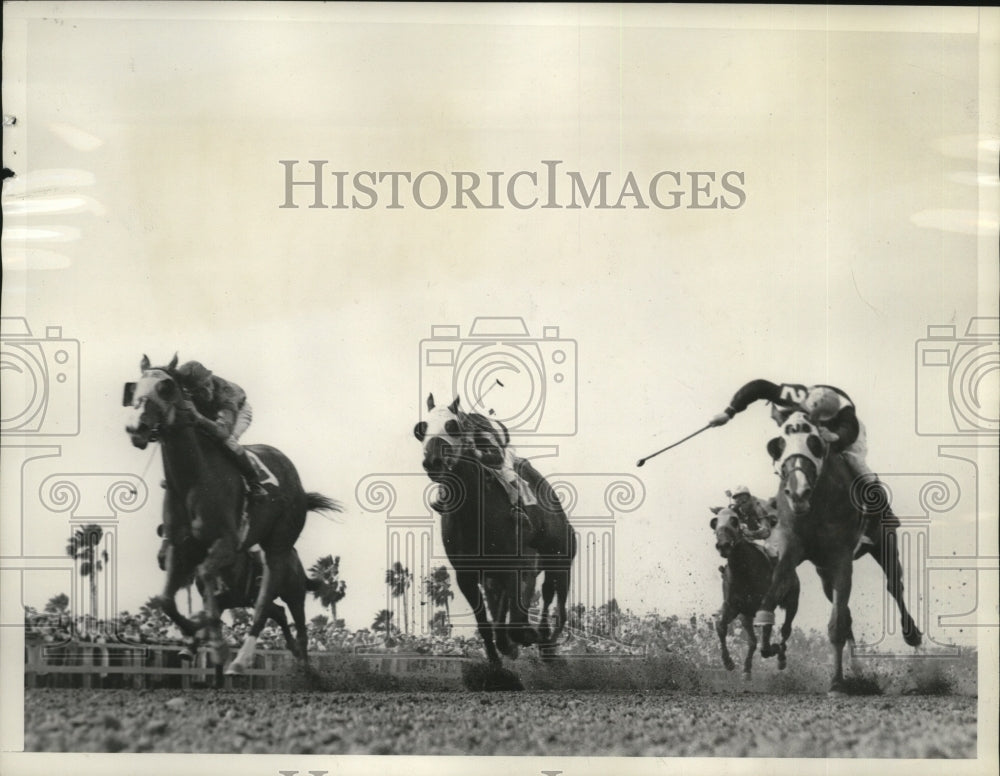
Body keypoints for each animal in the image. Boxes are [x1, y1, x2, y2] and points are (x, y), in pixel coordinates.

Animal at [125, 356, 342, 672]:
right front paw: (193, 635)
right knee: (276, 612)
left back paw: (251, 659)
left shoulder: (226, 543)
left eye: (166, 387)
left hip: (281, 555)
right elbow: (166, 600)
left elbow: (206, 580)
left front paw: (211, 638)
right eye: (134, 387)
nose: (135, 427)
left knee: (273, 607)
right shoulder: (180, 547)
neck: (193, 481)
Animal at [412, 398, 576, 664]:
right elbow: (487, 622)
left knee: (557, 606)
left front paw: (526, 637)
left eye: (452, 426)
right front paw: (497, 654)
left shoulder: (519, 563)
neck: (475, 514)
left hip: (560, 563)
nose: (433, 462)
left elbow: (518, 619)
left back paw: (547, 644)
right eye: (420, 429)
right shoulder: (467, 574)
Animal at [708, 504, 800, 680]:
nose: (723, 545)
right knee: (752, 641)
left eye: (734, 520)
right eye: (714, 522)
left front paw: (775, 649)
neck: (745, 571)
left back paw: (781, 658)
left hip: (792, 601)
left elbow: (766, 645)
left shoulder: (765, 606)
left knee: (786, 630)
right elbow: (721, 627)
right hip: (746, 615)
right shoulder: (733, 606)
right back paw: (747, 669)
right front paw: (728, 662)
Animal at [756, 412, 920, 692]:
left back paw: (911, 634)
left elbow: (836, 625)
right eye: (781, 445)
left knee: (894, 586)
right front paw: (770, 644)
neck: (816, 503)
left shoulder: (842, 557)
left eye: (815, 444)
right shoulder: (792, 549)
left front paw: (836, 683)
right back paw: (857, 669)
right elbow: (773, 591)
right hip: (824, 572)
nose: (798, 493)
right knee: (847, 611)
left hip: (884, 543)